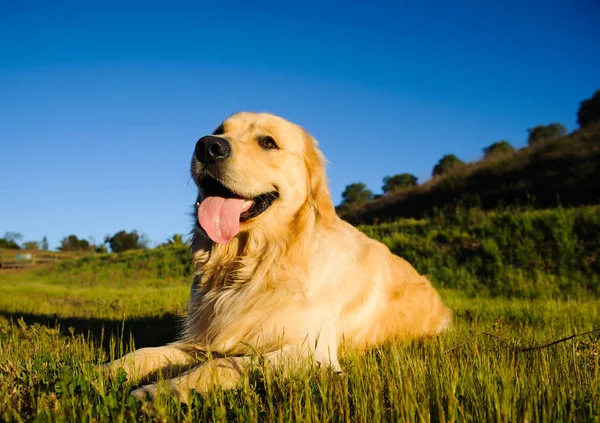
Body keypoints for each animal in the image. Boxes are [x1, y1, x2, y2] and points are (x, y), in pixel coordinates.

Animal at [104, 112, 450, 404]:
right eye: (220, 131)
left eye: (268, 142)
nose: (207, 146)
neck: (259, 262)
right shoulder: (207, 338)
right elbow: (146, 352)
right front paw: (104, 371)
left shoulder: (311, 353)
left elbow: (222, 365)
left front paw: (160, 392)